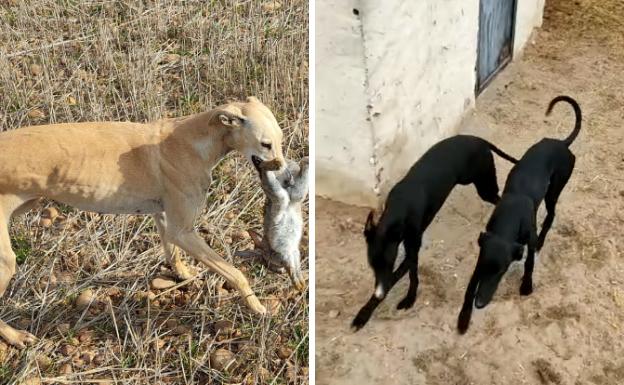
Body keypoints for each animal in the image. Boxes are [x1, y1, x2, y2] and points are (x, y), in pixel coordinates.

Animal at [352, 134, 516, 328]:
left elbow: (404, 276)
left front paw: (408, 299)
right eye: (371, 265)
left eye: (389, 263)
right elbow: (395, 277)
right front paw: (363, 313)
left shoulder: (412, 247)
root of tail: (478, 139)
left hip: (483, 184)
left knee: (498, 198)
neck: (400, 206)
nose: (379, 292)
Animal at [456, 94, 584, 332]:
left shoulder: (528, 241)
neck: (509, 218)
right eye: (485, 268)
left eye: (501, 271)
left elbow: (528, 263)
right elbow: (470, 286)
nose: (480, 304)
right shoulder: (482, 253)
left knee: (551, 216)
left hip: (554, 190)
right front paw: (464, 317)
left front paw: (526, 287)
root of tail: (561, 143)